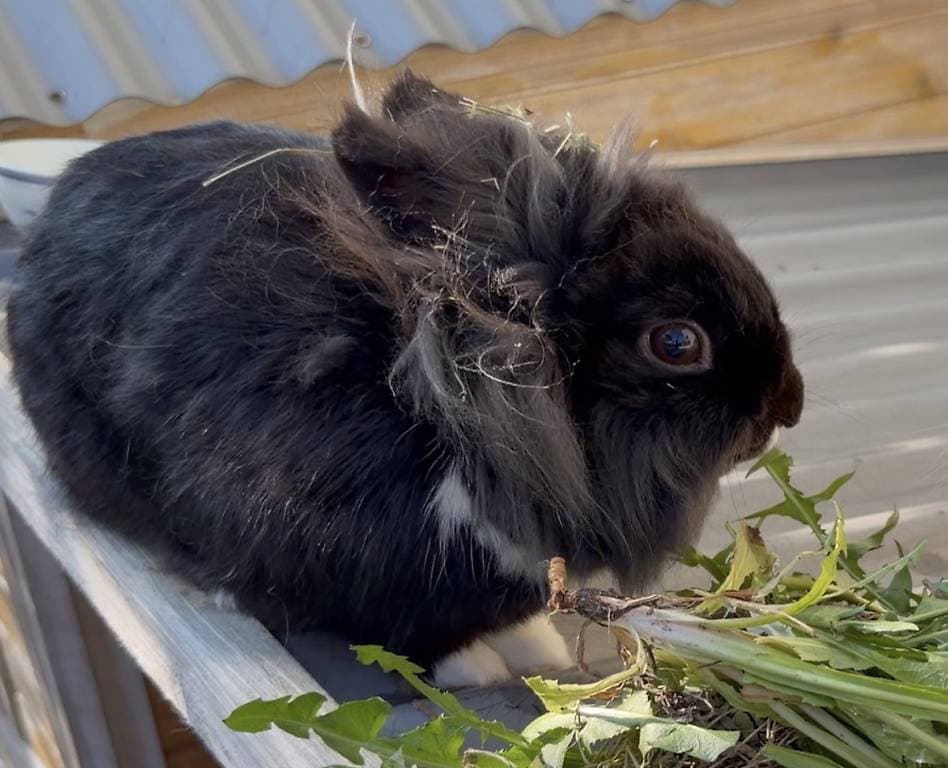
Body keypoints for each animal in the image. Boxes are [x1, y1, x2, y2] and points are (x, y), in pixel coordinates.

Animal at [6, 71, 803, 688]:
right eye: (677, 342)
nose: (787, 406)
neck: (438, 411)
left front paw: (534, 649)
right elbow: (413, 640)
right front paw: (478, 670)